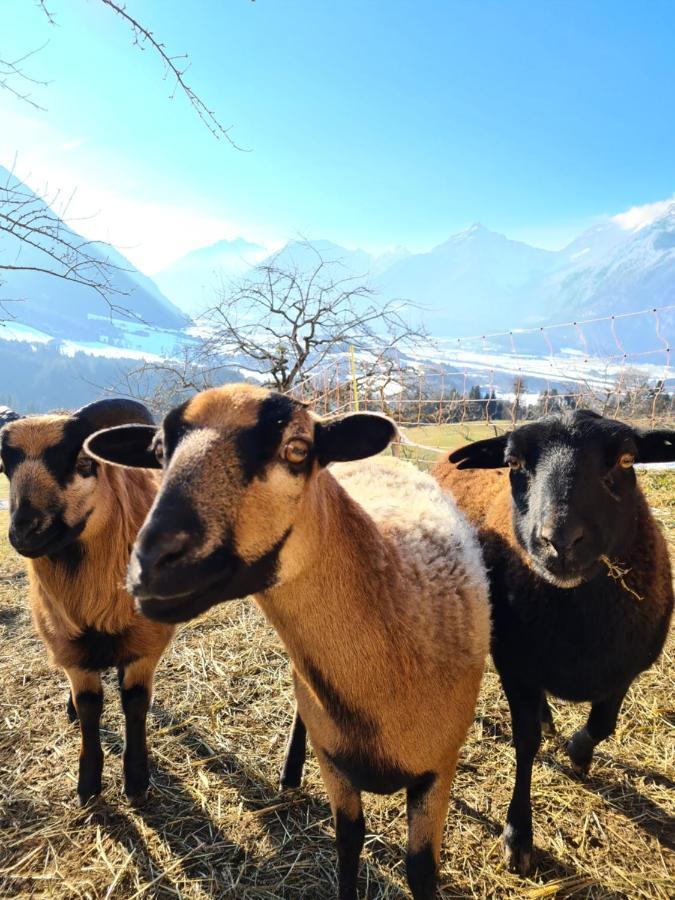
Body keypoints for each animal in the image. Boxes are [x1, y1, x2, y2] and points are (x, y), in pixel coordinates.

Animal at [0, 398, 174, 804]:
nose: (25, 531)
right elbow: (90, 707)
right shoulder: (67, 644)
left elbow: (135, 701)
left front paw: (136, 780)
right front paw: (88, 786)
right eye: (5, 468)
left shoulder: (146, 641)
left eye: (83, 463)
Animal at [88, 384, 492, 900]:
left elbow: (421, 869)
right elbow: (348, 843)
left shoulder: (437, 772)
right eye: (158, 452)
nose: (150, 564)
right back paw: (289, 771)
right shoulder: (335, 764)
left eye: (297, 450)